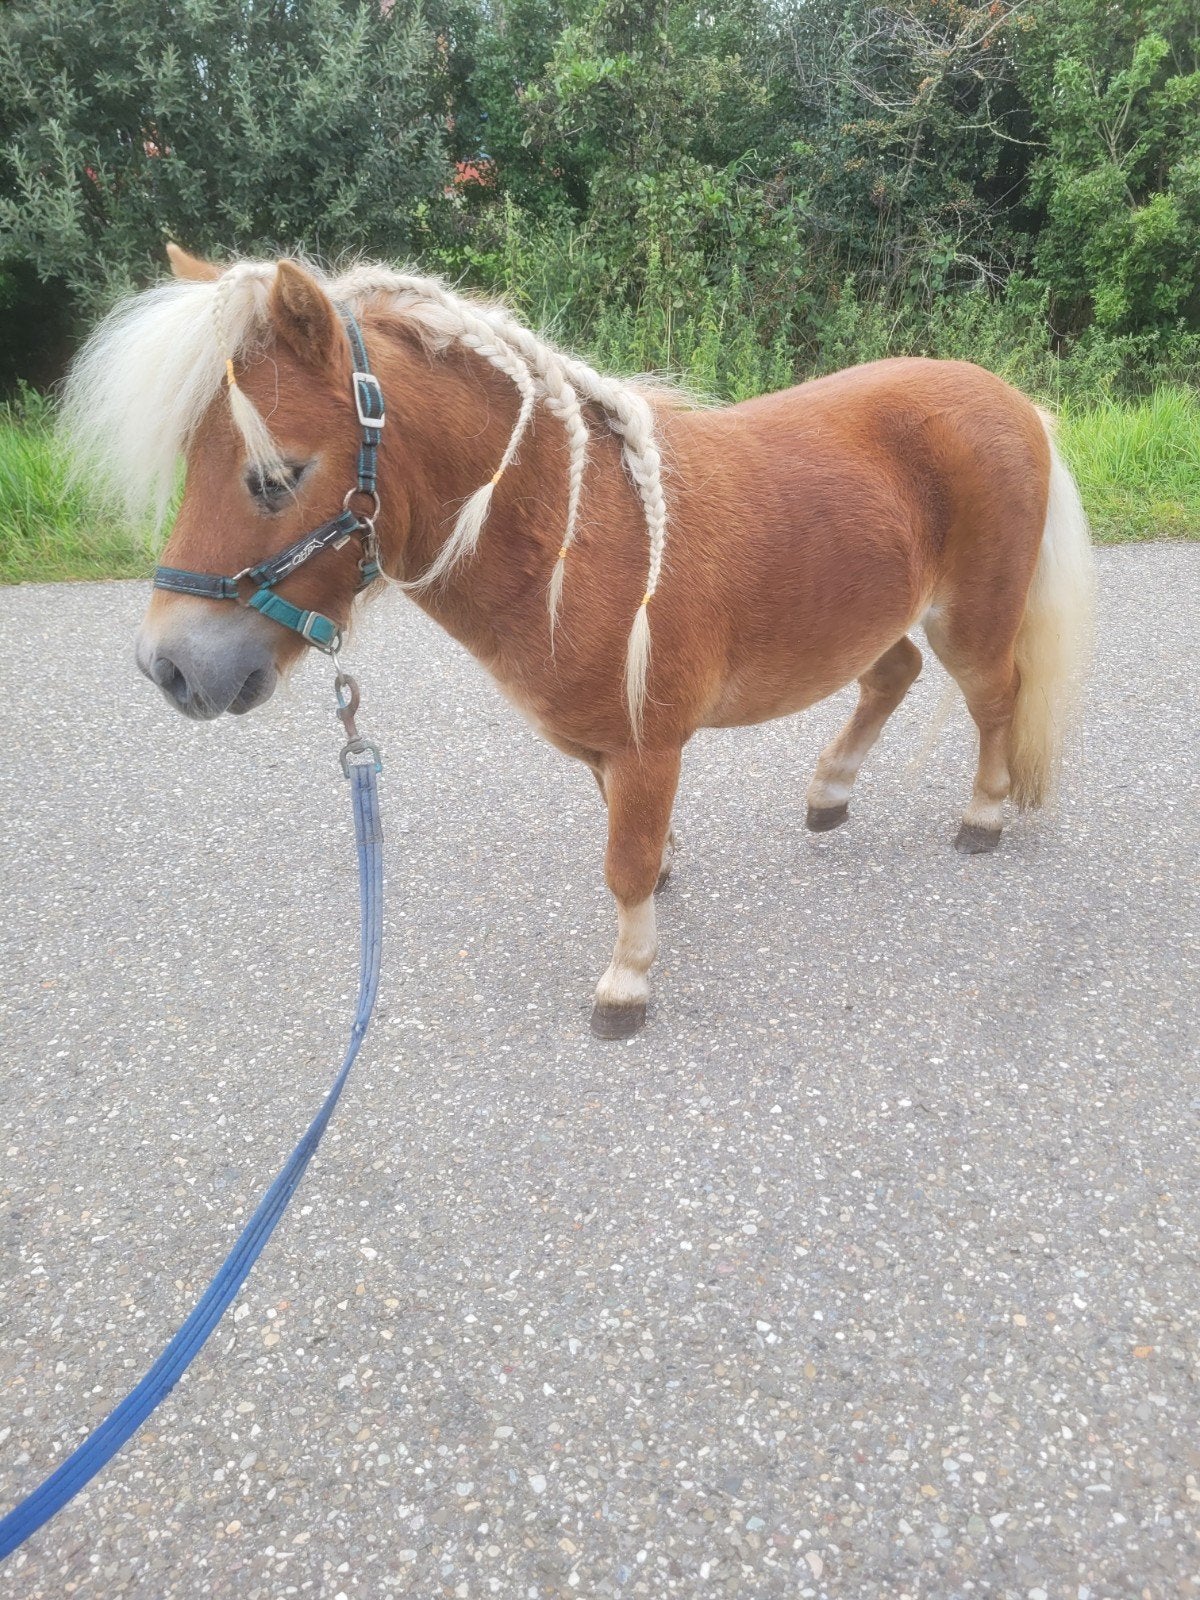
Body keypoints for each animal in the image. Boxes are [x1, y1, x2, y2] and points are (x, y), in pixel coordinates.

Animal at [63, 245, 1095, 1038]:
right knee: (894, 674)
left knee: (993, 700)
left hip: (971, 617)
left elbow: (623, 863)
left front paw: (627, 981)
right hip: (864, 613)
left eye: (276, 477)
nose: (172, 666)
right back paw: (830, 792)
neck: (576, 537)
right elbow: (631, 846)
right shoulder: (608, 751)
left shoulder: (647, 746)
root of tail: (1012, 400)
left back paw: (982, 816)